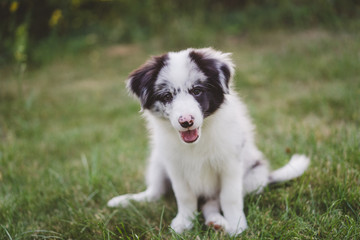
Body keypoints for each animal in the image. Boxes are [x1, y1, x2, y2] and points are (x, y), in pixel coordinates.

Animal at [107, 47, 310, 235]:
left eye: (197, 91)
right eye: (167, 96)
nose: (186, 121)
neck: (198, 140)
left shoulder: (230, 164)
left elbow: (230, 197)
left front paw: (237, 225)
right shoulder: (175, 166)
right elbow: (184, 196)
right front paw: (184, 222)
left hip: (255, 176)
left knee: (211, 203)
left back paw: (217, 222)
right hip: (157, 161)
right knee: (155, 193)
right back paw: (126, 200)